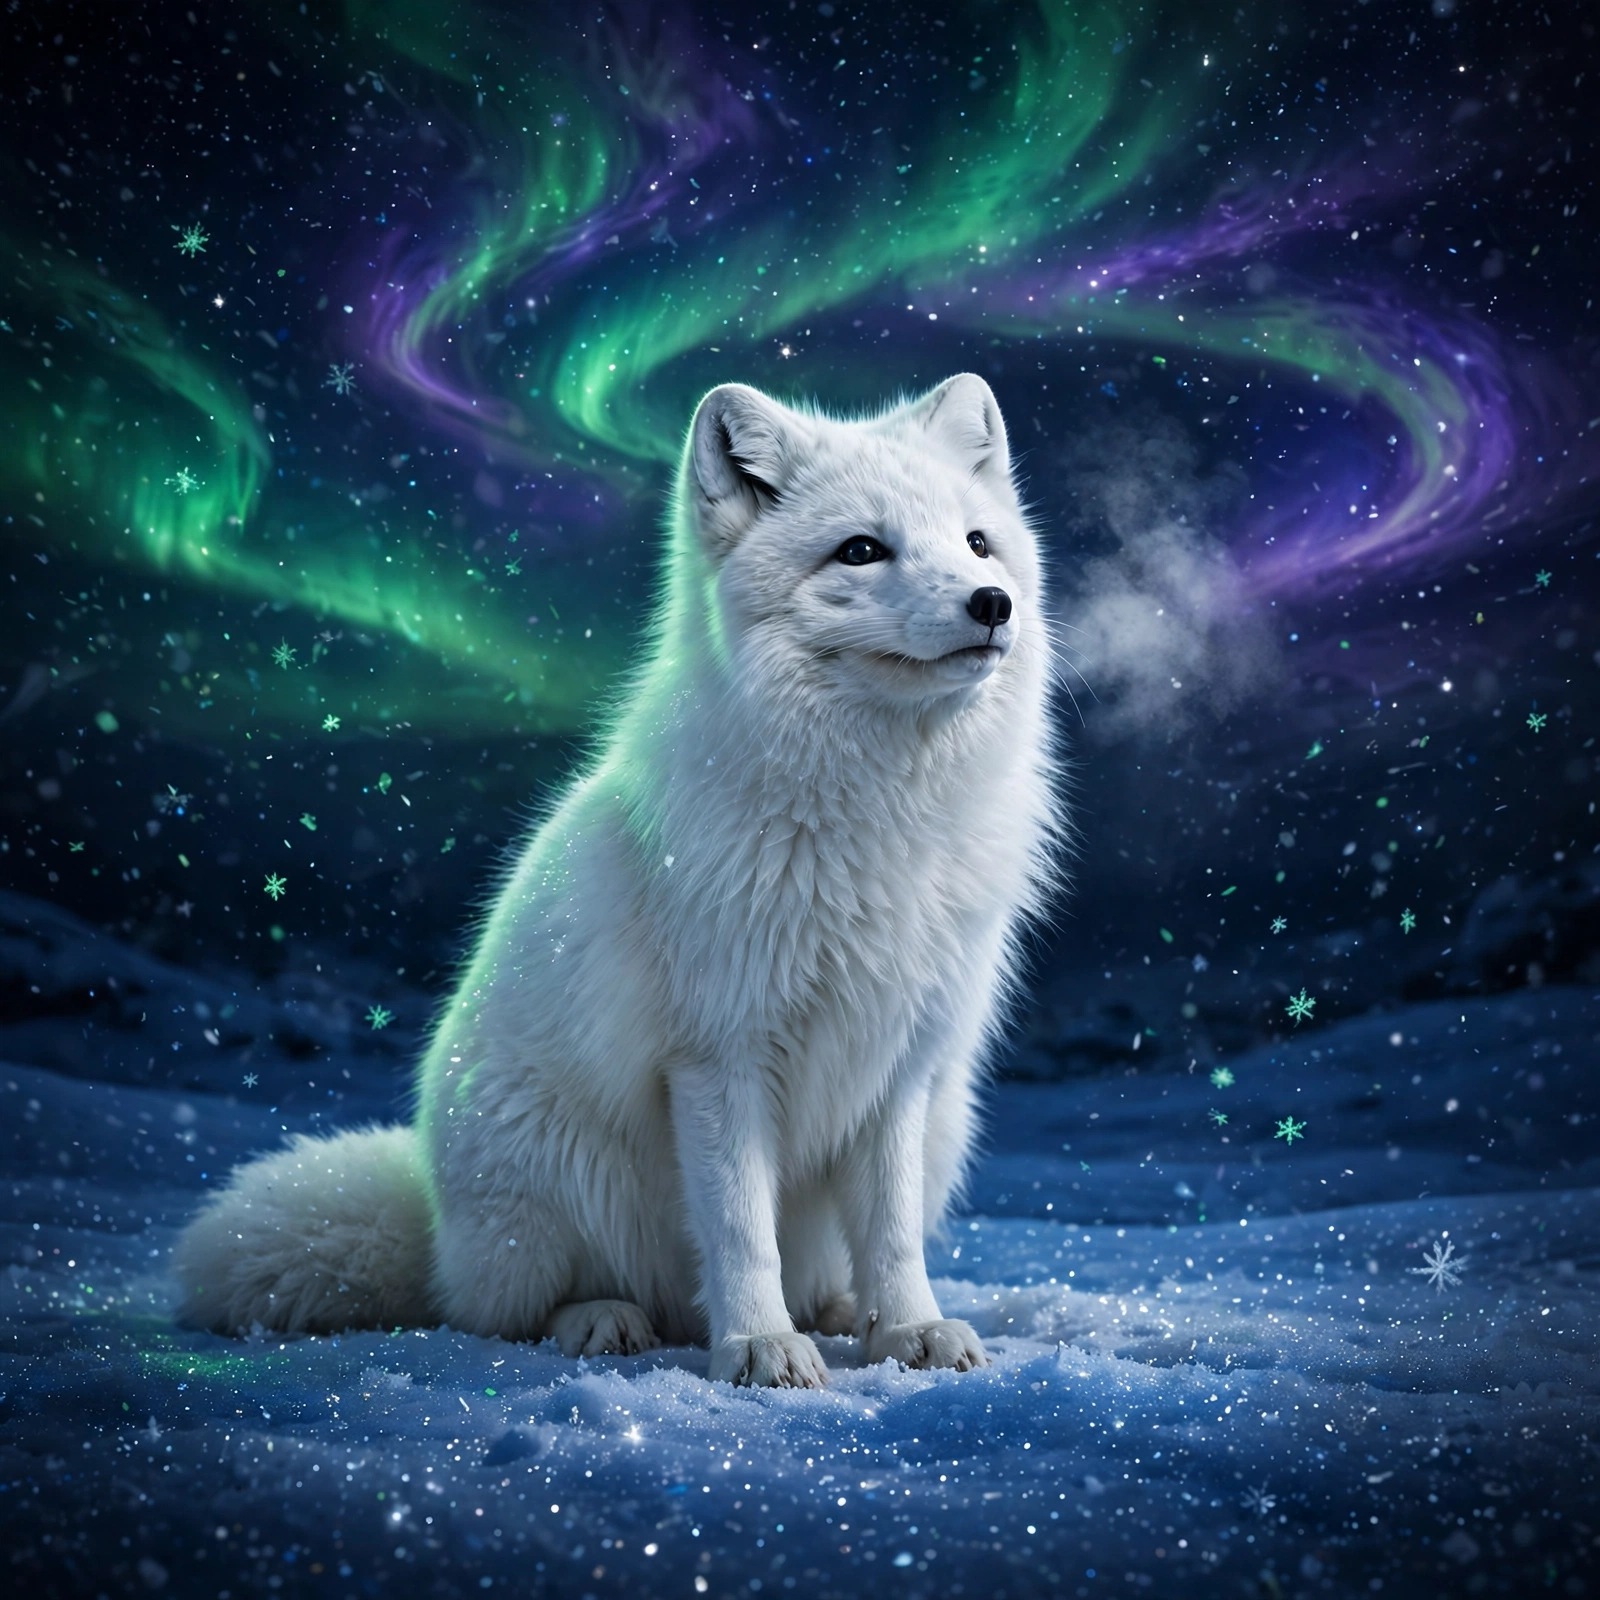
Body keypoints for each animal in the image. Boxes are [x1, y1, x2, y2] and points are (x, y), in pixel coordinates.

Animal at [174, 373, 1061, 1387]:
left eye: (978, 542)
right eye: (862, 550)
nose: (992, 602)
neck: (881, 814)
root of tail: (434, 1225)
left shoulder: (901, 1062)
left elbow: (893, 1231)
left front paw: (909, 1328)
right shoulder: (717, 1054)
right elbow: (740, 1226)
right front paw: (758, 1346)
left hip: (947, 1126)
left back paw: (837, 1311)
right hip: (547, 1176)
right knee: (502, 1313)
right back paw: (607, 1319)